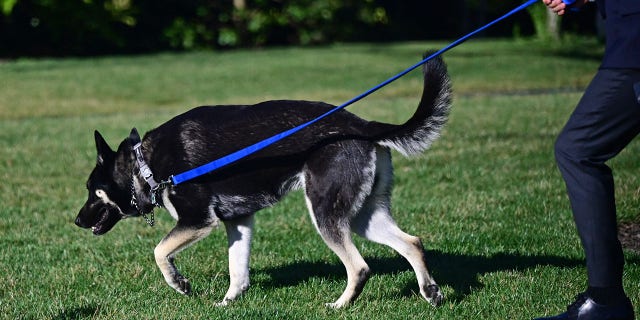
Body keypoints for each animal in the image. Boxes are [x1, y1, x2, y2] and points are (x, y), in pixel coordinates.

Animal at [75, 54, 452, 308]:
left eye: (93, 192)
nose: (77, 221)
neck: (146, 165)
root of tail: (362, 125)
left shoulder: (198, 221)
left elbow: (159, 251)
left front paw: (179, 283)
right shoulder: (239, 222)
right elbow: (238, 270)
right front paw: (227, 304)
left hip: (326, 213)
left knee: (359, 267)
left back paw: (340, 305)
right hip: (362, 215)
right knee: (412, 242)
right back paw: (431, 292)